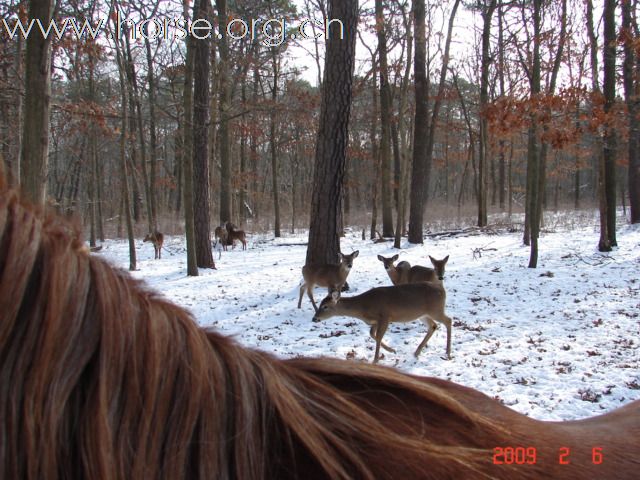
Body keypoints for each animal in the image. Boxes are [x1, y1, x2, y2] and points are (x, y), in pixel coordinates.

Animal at [312, 282, 452, 364]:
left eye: (325, 306)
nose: (314, 318)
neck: (363, 307)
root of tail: (443, 289)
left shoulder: (385, 316)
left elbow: (378, 336)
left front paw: (375, 360)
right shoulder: (375, 321)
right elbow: (372, 334)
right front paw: (392, 350)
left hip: (435, 309)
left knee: (448, 321)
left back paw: (448, 353)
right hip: (423, 314)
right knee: (433, 326)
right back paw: (416, 352)